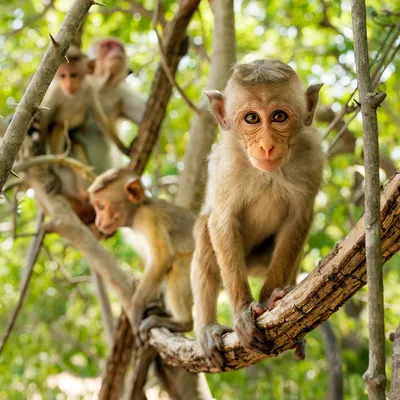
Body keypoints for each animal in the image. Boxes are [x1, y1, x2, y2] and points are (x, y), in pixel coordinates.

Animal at [87, 168, 195, 338]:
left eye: (101, 207)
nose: (97, 222)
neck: (137, 211)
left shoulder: (148, 217)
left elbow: (161, 259)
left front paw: (136, 308)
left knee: (178, 265)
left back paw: (183, 323)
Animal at [191, 57, 324, 368]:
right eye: (251, 119)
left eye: (278, 116)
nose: (266, 145)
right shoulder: (227, 164)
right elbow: (222, 222)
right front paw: (242, 310)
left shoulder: (312, 157)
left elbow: (298, 221)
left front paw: (268, 301)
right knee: (204, 232)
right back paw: (207, 328)